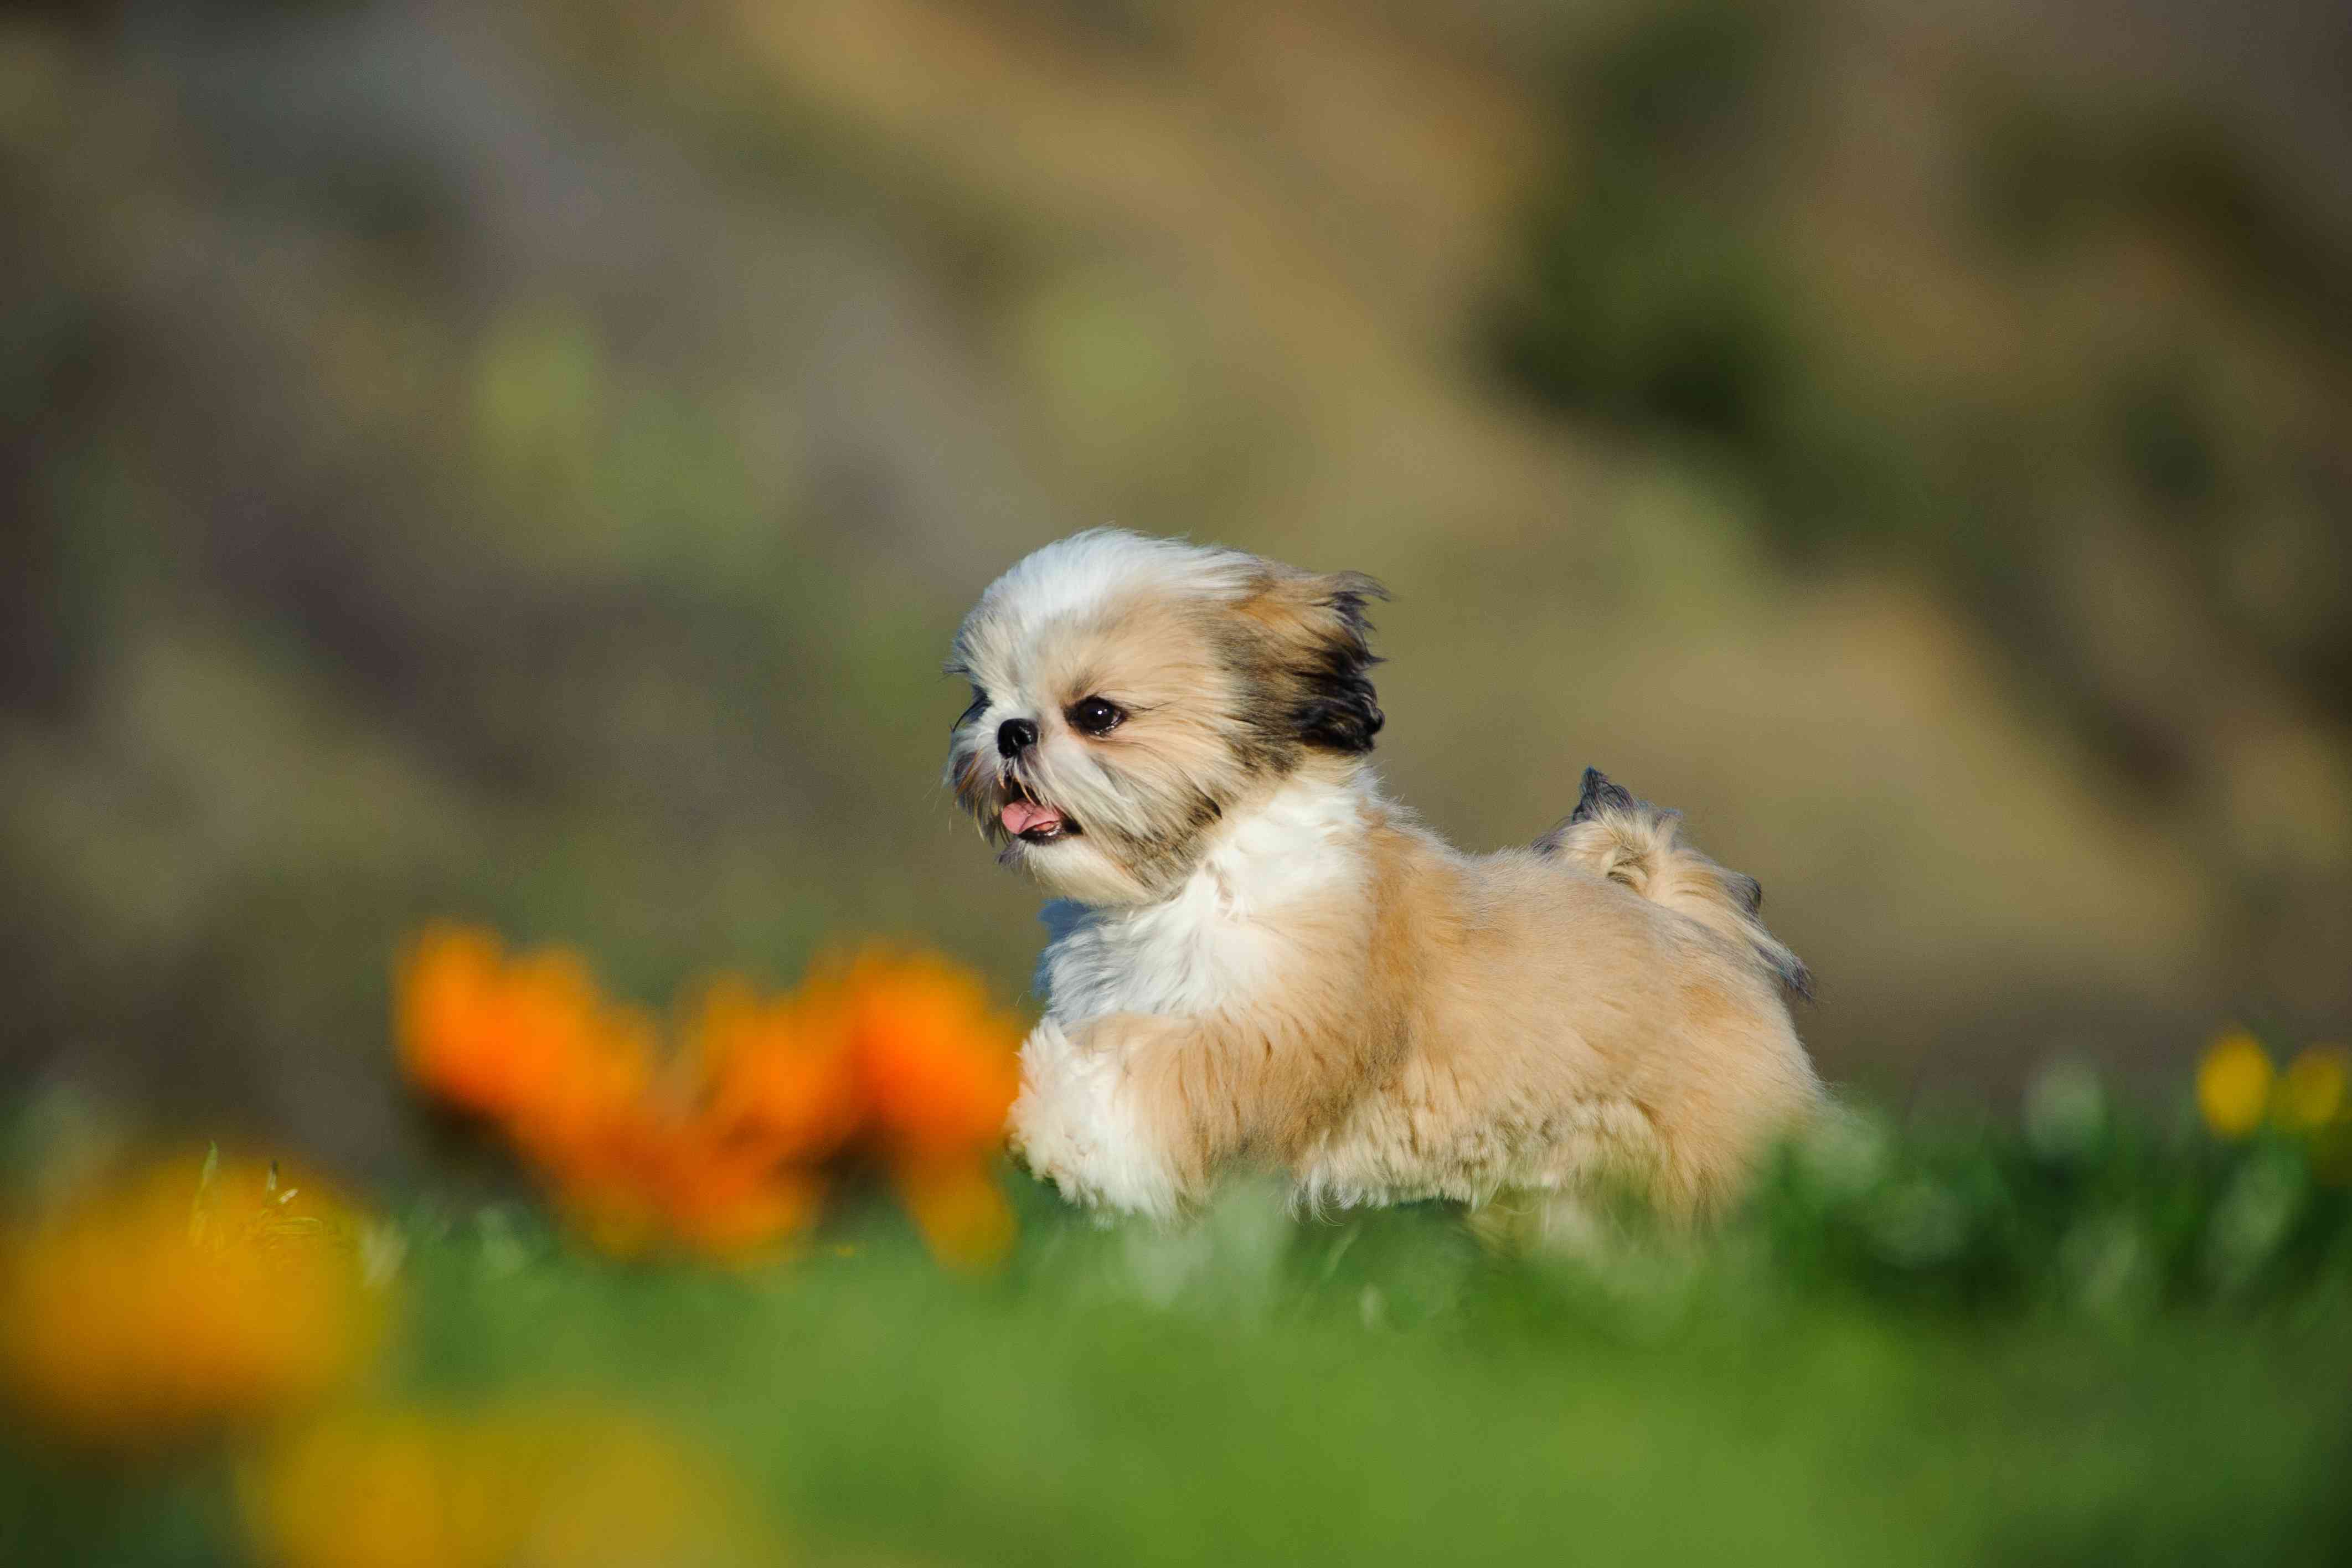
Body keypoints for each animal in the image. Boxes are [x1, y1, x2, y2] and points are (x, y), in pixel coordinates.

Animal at [936, 533, 1815, 1231]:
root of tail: (1690, 929)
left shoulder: (1264, 1030)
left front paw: (1050, 1113)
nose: (1010, 732)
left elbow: (1145, 1080)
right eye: (981, 699)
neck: (1194, 872)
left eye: (1097, 715)